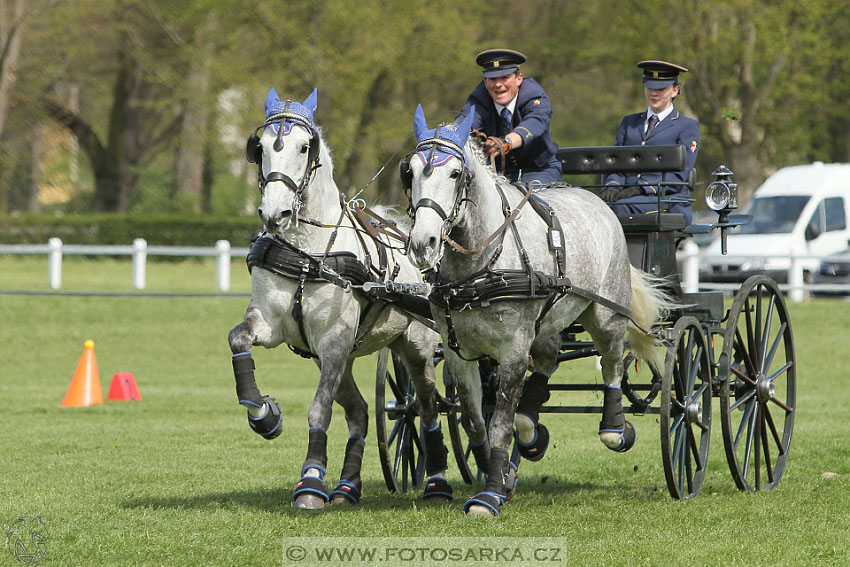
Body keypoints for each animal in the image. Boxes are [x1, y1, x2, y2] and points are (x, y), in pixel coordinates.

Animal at [227, 90, 458, 510]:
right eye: (261, 147)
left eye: (305, 147)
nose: (274, 213)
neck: (309, 252)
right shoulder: (272, 323)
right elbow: (238, 338)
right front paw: (263, 415)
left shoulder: (334, 338)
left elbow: (319, 407)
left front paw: (310, 481)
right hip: (341, 357)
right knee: (361, 412)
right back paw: (347, 487)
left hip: (414, 347)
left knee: (427, 408)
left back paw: (436, 481)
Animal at [406, 104, 676, 516]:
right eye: (410, 171)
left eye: (455, 174)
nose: (423, 243)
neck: (481, 266)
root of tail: (601, 201)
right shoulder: (458, 353)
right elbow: (475, 422)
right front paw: (499, 474)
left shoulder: (515, 350)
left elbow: (500, 423)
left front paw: (490, 494)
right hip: (548, 320)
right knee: (549, 357)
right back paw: (532, 431)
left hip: (606, 316)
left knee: (612, 363)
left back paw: (615, 429)